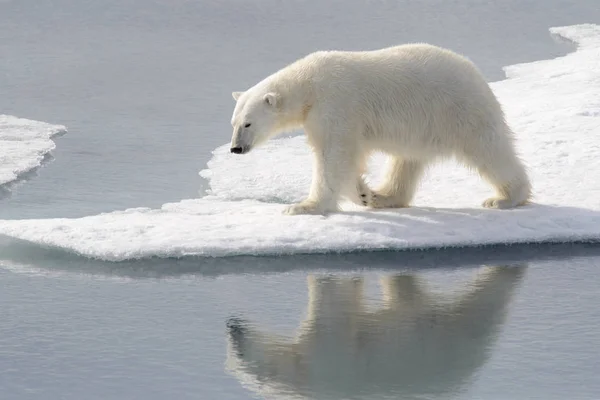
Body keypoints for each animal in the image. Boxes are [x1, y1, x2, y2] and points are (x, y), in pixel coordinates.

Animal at [230, 43, 528, 216]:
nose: (235, 148)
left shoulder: (336, 104)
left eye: (248, 123)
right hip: (422, 127)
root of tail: (476, 74)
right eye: (233, 123)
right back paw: (384, 196)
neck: (310, 83)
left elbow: (334, 155)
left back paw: (505, 198)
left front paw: (304, 206)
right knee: (406, 162)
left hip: (457, 110)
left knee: (489, 150)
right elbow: (344, 157)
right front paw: (364, 194)